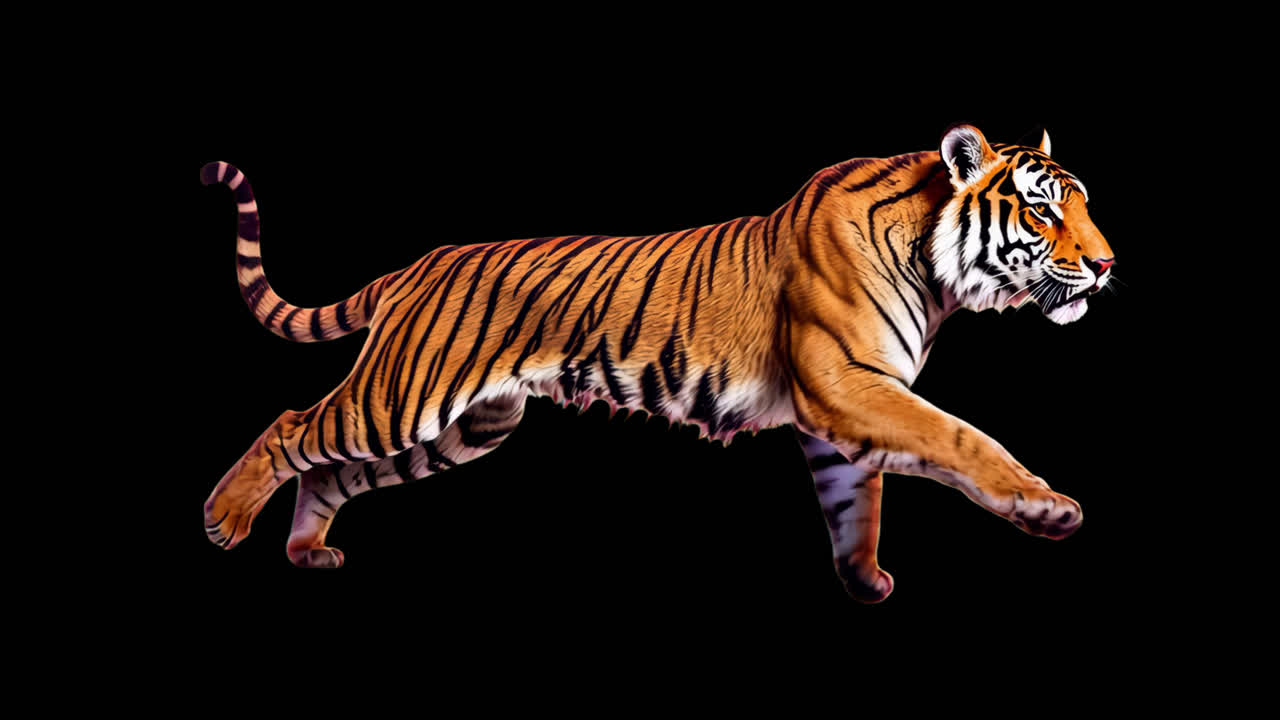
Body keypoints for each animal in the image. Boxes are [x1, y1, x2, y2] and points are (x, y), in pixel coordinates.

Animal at [200, 124, 1114, 603]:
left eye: (1085, 205)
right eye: (1042, 210)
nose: (1108, 265)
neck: (939, 271)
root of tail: (413, 267)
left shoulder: (837, 414)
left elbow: (859, 501)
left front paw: (864, 581)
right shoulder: (848, 384)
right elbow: (962, 439)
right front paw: (1046, 507)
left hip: (467, 427)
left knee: (332, 471)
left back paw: (307, 552)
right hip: (402, 397)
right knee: (291, 427)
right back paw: (224, 519)